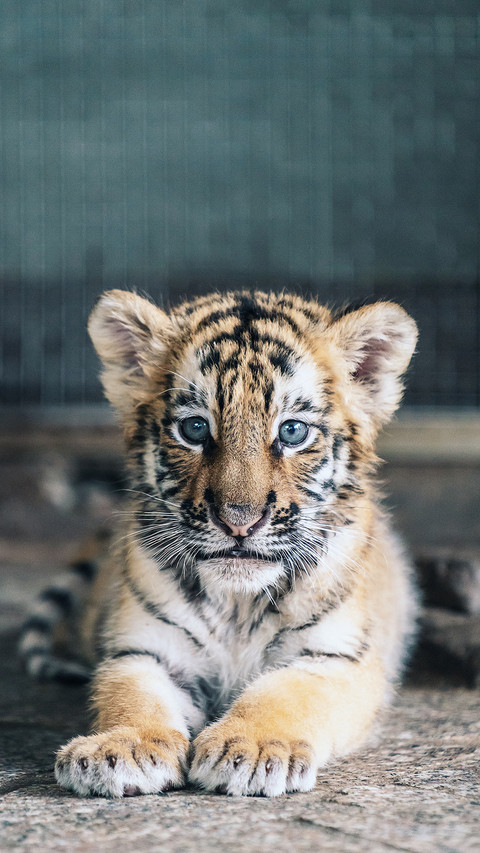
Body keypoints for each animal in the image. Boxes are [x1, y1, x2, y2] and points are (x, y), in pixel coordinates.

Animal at [20, 288, 418, 798]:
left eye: (292, 431)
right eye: (193, 429)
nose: (239, 522)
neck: (237, 603)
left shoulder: (336, 657)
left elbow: (285, 694)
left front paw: (253, 748)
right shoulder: (147, 649)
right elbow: (133, 697)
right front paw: (121, 748)